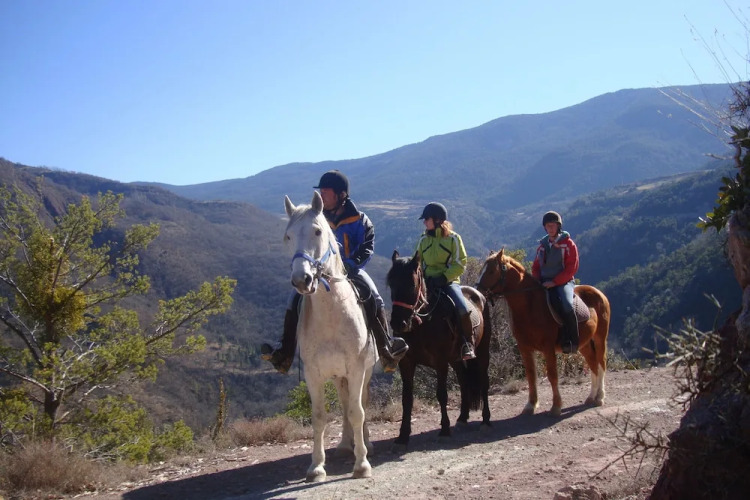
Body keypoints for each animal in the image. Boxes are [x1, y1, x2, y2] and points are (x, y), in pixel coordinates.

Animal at [283, 192, 377, 482]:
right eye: (288, 236)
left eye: (317, 231)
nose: (301, 280)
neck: (331, 314)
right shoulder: (314, 373)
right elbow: (319, 417)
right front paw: (316, 467)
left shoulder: (357, 369)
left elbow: (357, 412)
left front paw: (362, 464)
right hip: (338, 376)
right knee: (346, 403)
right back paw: (346, 445)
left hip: (364, 371)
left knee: (359, 404)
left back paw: (365, 443)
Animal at [386, 250, 492, 448]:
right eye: (390, 283)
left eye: (412, 284)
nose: (398, 323)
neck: (422, 323)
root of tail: (480, 295)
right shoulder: (406, 363)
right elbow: (407, 398)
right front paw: (403, 435)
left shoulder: (440, 362)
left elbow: (441, 394)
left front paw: (444, 429)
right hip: (456, 359)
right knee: (464, 381)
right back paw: (463, 417)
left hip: (482, 351)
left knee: (484, 382)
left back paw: (486, 420)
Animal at [476, 248, 610, 416]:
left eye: (492, 271)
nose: (478, 293)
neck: (530, 306)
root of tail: (599, 293)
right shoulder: (525, 348)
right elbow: (531, 376)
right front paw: (531, 405)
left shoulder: (548, 347)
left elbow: (552, 375)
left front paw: (556, 406)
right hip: (584, 344)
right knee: (593, 364)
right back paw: (591, 396)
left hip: (599, 338)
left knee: (601, 362)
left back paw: (600, 397)